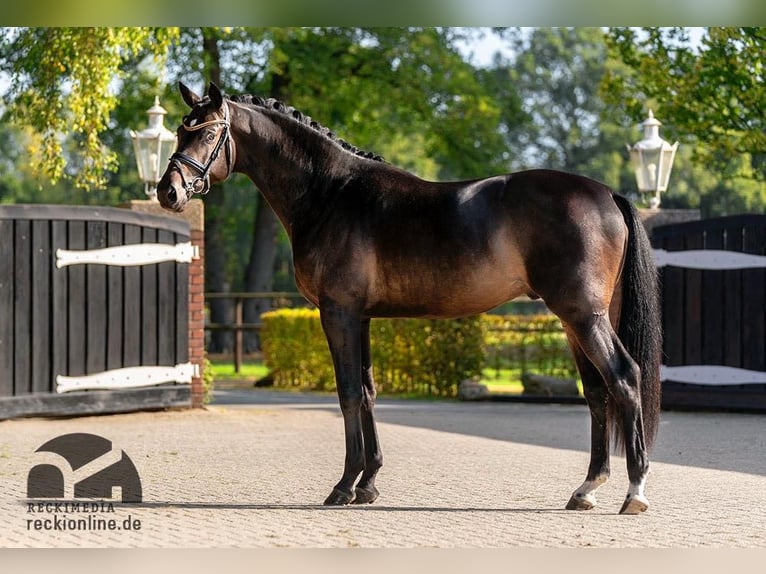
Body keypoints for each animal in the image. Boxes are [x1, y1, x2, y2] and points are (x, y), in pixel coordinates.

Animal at [159, 82, 664, 516]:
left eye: (208, 132)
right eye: (181, 130)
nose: (168, 190)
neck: (330, 192)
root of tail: (607, 193)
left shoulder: (338, 313)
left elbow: (347, 393)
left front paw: (343, 487)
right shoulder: (359, 317)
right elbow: (367, 391)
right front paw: (368, 484)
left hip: (583, 316)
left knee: (623, 377)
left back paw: (635, 491)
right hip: (578, 319)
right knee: (597, 391)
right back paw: (587, 489)